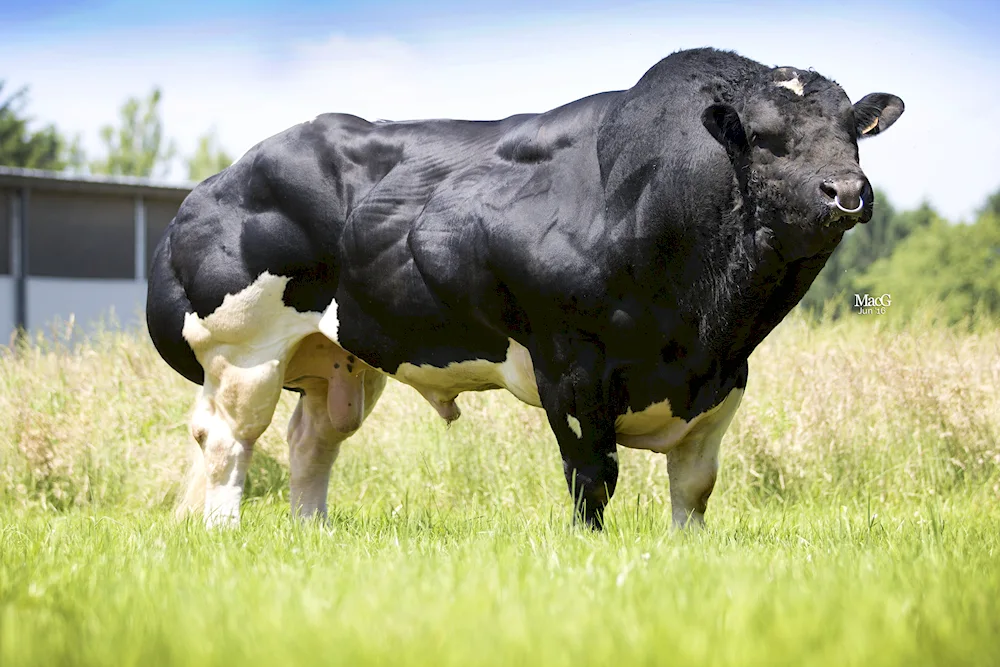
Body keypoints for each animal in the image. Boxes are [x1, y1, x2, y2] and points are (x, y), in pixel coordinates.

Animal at [148, 47, 908, 528]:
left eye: (854, 132)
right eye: (764, 136)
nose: (847, 191)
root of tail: (218, 182)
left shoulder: (725, 380)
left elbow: (694, 488)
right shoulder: (570, 365)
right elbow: (592, 477)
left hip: (343, 356)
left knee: (311, 441)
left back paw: (314, 532)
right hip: (243, 351)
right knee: (228, 439)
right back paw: (223, 529)